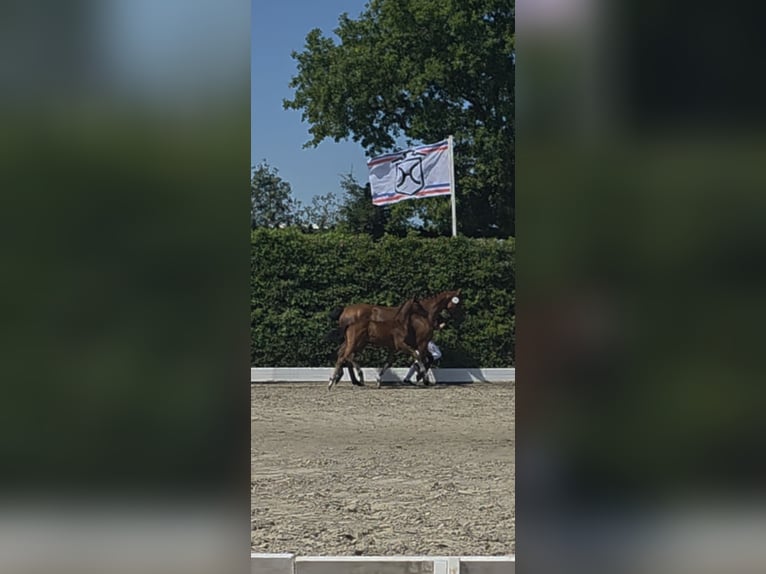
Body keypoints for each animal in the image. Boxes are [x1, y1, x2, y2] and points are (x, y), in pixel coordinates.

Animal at [328, 290, 463, 388]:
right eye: (458, 302)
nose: (462, 317)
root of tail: (345, 310)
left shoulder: (413, 345)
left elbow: (423, 359)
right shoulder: (422, 343)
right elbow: (422, 358)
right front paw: (422, 377)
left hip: (353, 342)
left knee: (343, 354)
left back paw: (346, 379)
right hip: (356, 342)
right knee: (346, 355)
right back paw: (353, 379)